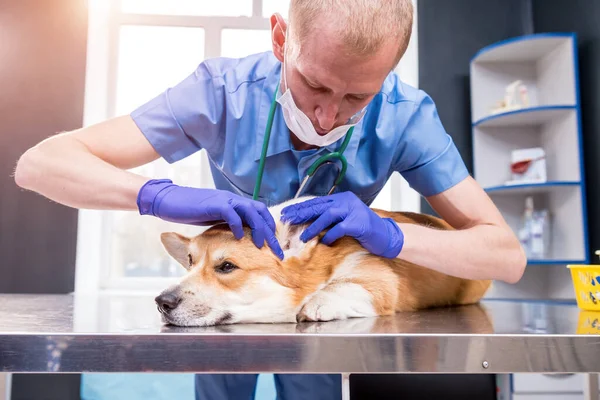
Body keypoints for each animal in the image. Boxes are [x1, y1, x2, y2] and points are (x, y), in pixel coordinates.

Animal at [156, 195, 492, 326]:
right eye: (190, 262)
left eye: (227, 267)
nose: (162, 302)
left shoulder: (377, 278)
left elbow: (347, 286)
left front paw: (318, 302)